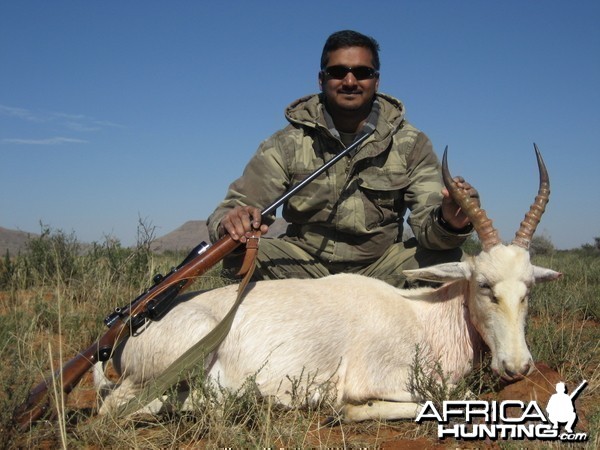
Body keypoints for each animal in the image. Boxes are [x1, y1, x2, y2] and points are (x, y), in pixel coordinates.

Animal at [95, 147, 564, 422]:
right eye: (484, 285)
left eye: (528, 288)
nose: (517, 366)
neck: (423, 315)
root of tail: (129, 333)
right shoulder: (381, 381)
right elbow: (437, 400)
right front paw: (342, 409)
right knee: (115, 408)